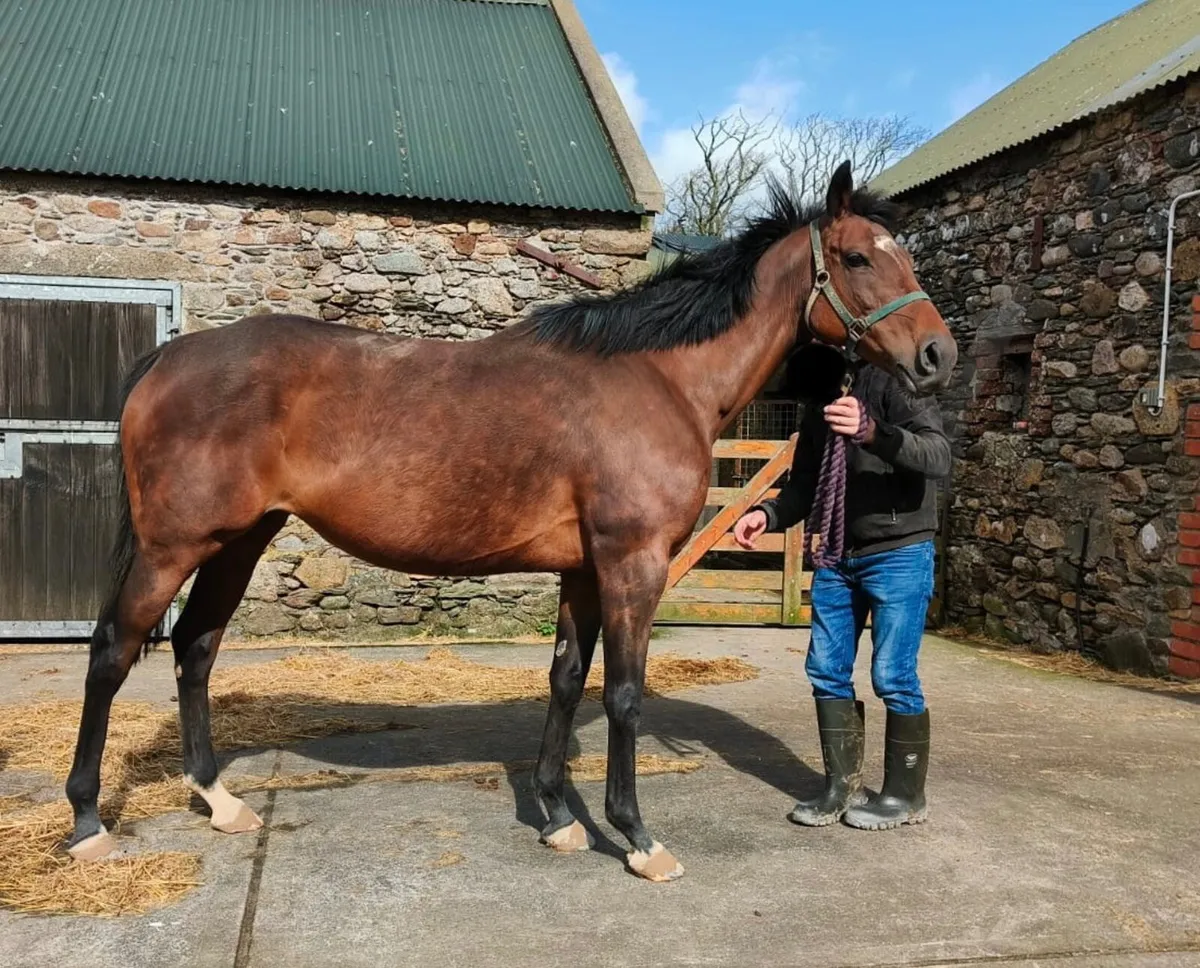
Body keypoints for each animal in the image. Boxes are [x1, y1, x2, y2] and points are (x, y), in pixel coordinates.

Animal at [65, 162, 957, 882]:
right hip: (174, 546)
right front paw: (636, 839)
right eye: (856, 257)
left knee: (195, 648)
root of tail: (171, 358)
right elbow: (624, 694)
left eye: (905, 253)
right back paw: (85, 823)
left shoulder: (582, 570)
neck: (661, 378)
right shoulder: (631, 564)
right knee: (112, 653)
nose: (938, 357)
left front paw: (558, 817)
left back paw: (218, 799)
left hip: (238, 542)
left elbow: (564, 679)